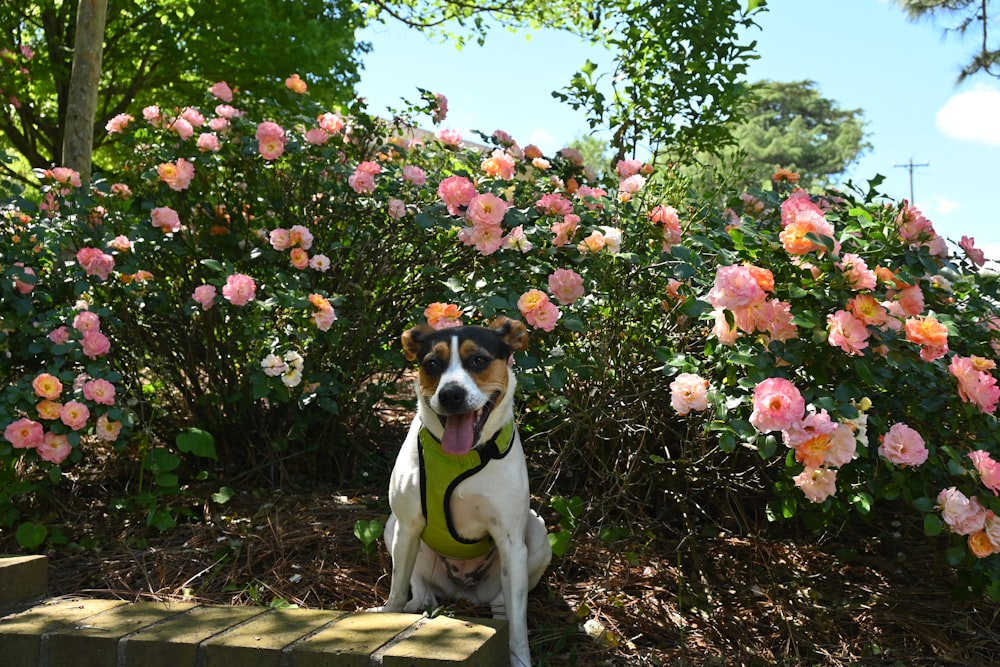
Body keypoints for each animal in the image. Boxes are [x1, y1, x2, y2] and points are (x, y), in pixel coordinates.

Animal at [372, 316, 552, 664]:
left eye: (478, 360)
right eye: (431, 363)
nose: (451, 394)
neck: (461, 458)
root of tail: (465, 592)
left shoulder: (511, 540)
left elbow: (519, 625)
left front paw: (520, 658)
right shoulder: (409, 525)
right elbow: (397, 587)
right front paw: (389, 617)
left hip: (535, 532)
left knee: (505, 604)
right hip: (394, 527)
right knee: (418, 587)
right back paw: (415, 606)